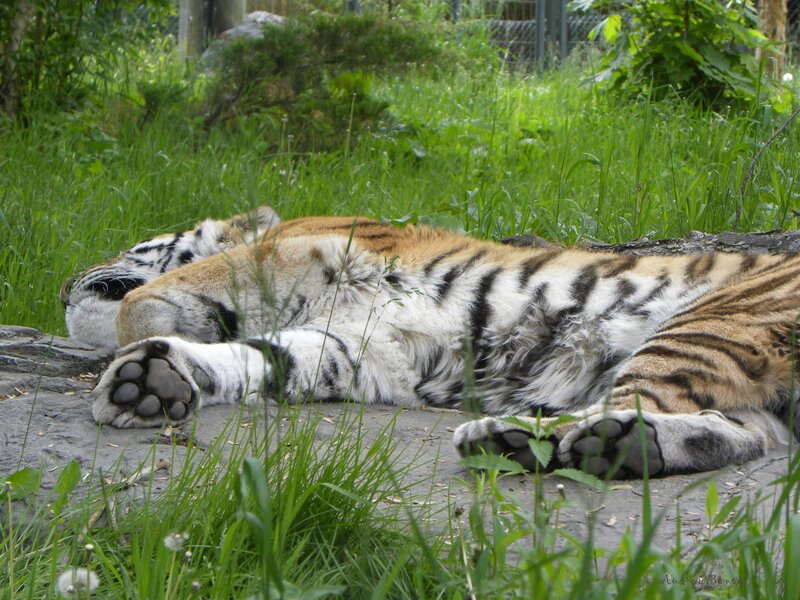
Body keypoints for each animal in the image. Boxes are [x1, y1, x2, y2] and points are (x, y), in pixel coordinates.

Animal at [62, 205, 799, 479]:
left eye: (129, 245)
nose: (66, 283)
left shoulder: (295, 248)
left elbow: (142, 302)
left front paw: (136, 348)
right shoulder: (352, 347)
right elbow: (258, 358)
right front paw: (151, 383)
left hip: (705, 324)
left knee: (640, 406)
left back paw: (515, 438)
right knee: (743, 433)